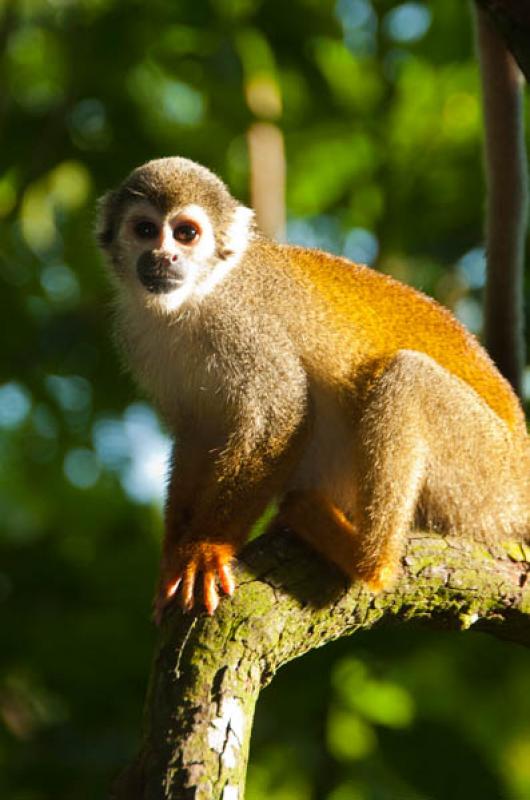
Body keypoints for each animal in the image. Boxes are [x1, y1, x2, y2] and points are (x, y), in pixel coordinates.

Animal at [96, 156, 528, 620]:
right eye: (144, 229)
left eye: (186, 233)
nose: (164, 256)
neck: (195, 299)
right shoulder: (138, 337)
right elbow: (198, 430)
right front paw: (173, 561)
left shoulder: (244, 325)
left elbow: (283, 415)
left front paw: (207, 548)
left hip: (486, 472)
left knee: (407, 376)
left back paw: (367, 559)